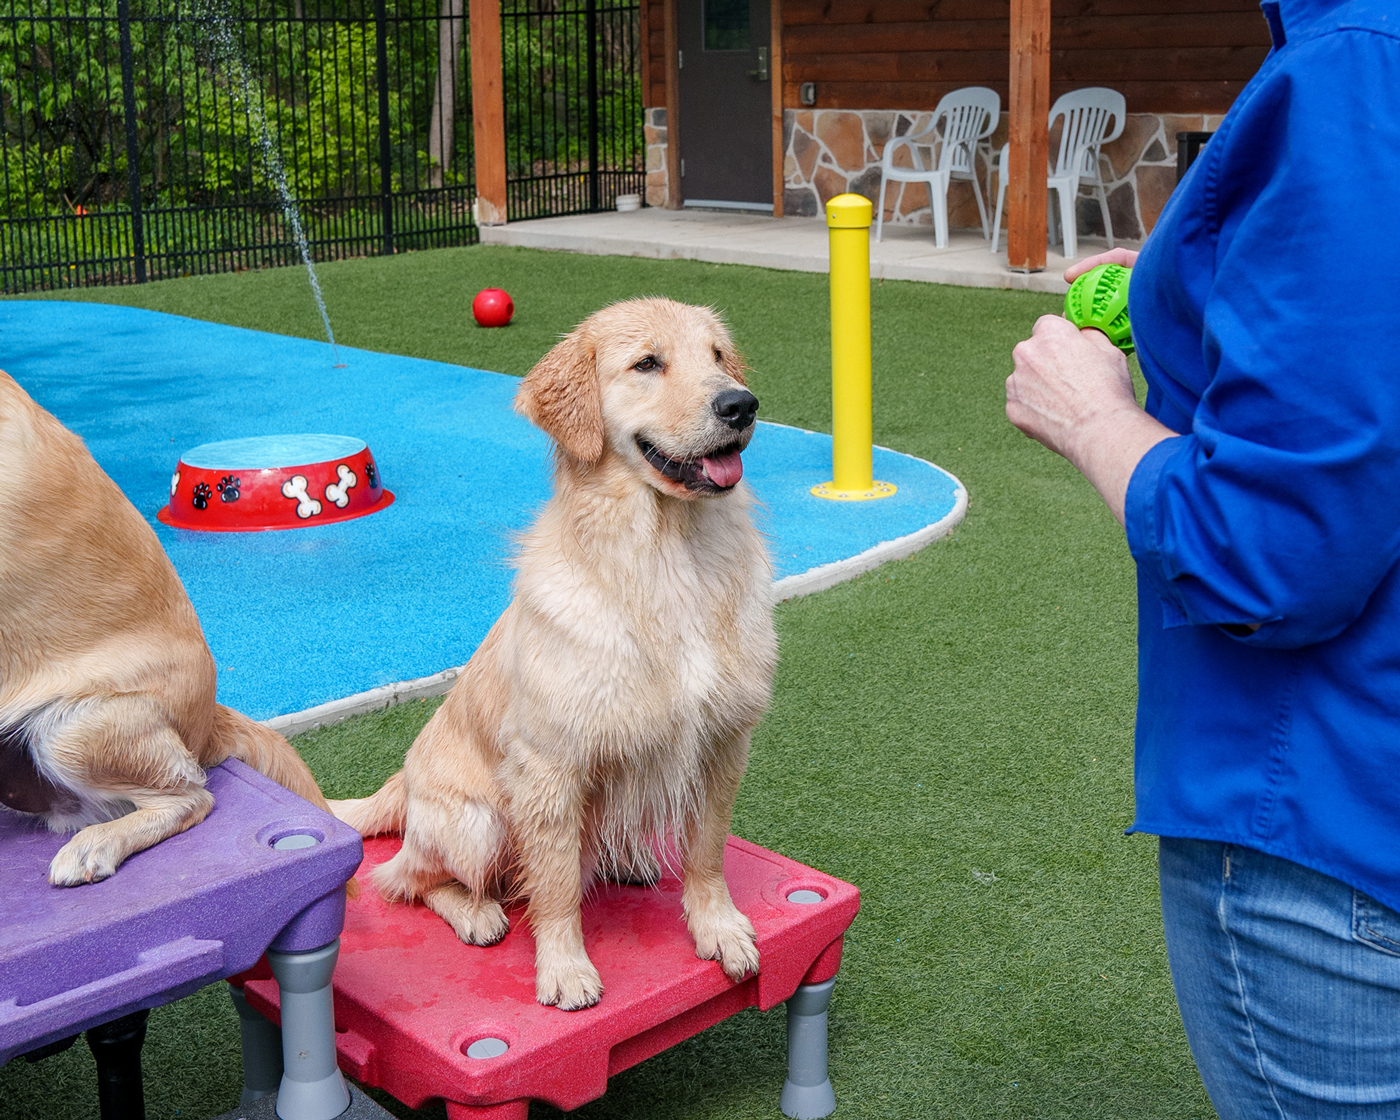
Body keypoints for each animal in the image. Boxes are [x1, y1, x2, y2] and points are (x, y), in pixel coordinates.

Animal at [331, 298, 778, 1010]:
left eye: (717, 357)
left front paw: (719, 928)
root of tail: (401, 781)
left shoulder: (723, 743)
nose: (741, 404)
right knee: (405, 878)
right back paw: (477, 912)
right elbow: (558, 884)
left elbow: (706, 853)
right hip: (478, 822)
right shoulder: (549, 766)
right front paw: (564, 968)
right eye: (646, 363)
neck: (667, 559)